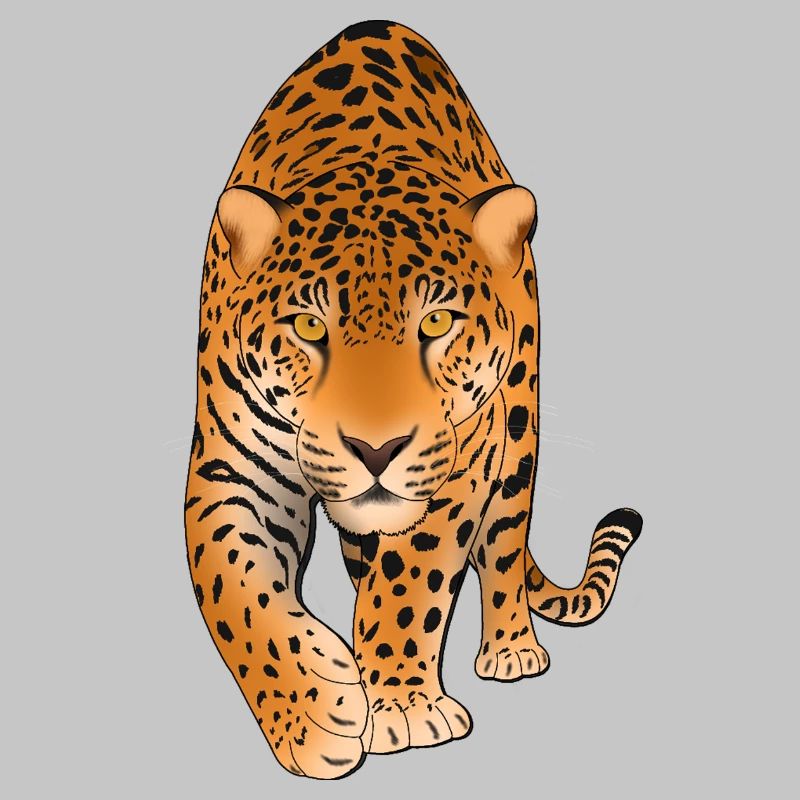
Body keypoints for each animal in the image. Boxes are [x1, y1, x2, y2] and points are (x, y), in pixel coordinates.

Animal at [184, 19, 642, 780]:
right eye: (310, 327)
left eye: (436, 322)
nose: (376, 450)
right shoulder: (232, 467)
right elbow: (233, 587)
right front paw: (314, 713)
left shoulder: (458, 465)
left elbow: (410, 581)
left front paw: (399, 704)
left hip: (517, 431)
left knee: (505, 545)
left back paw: (511, 647)